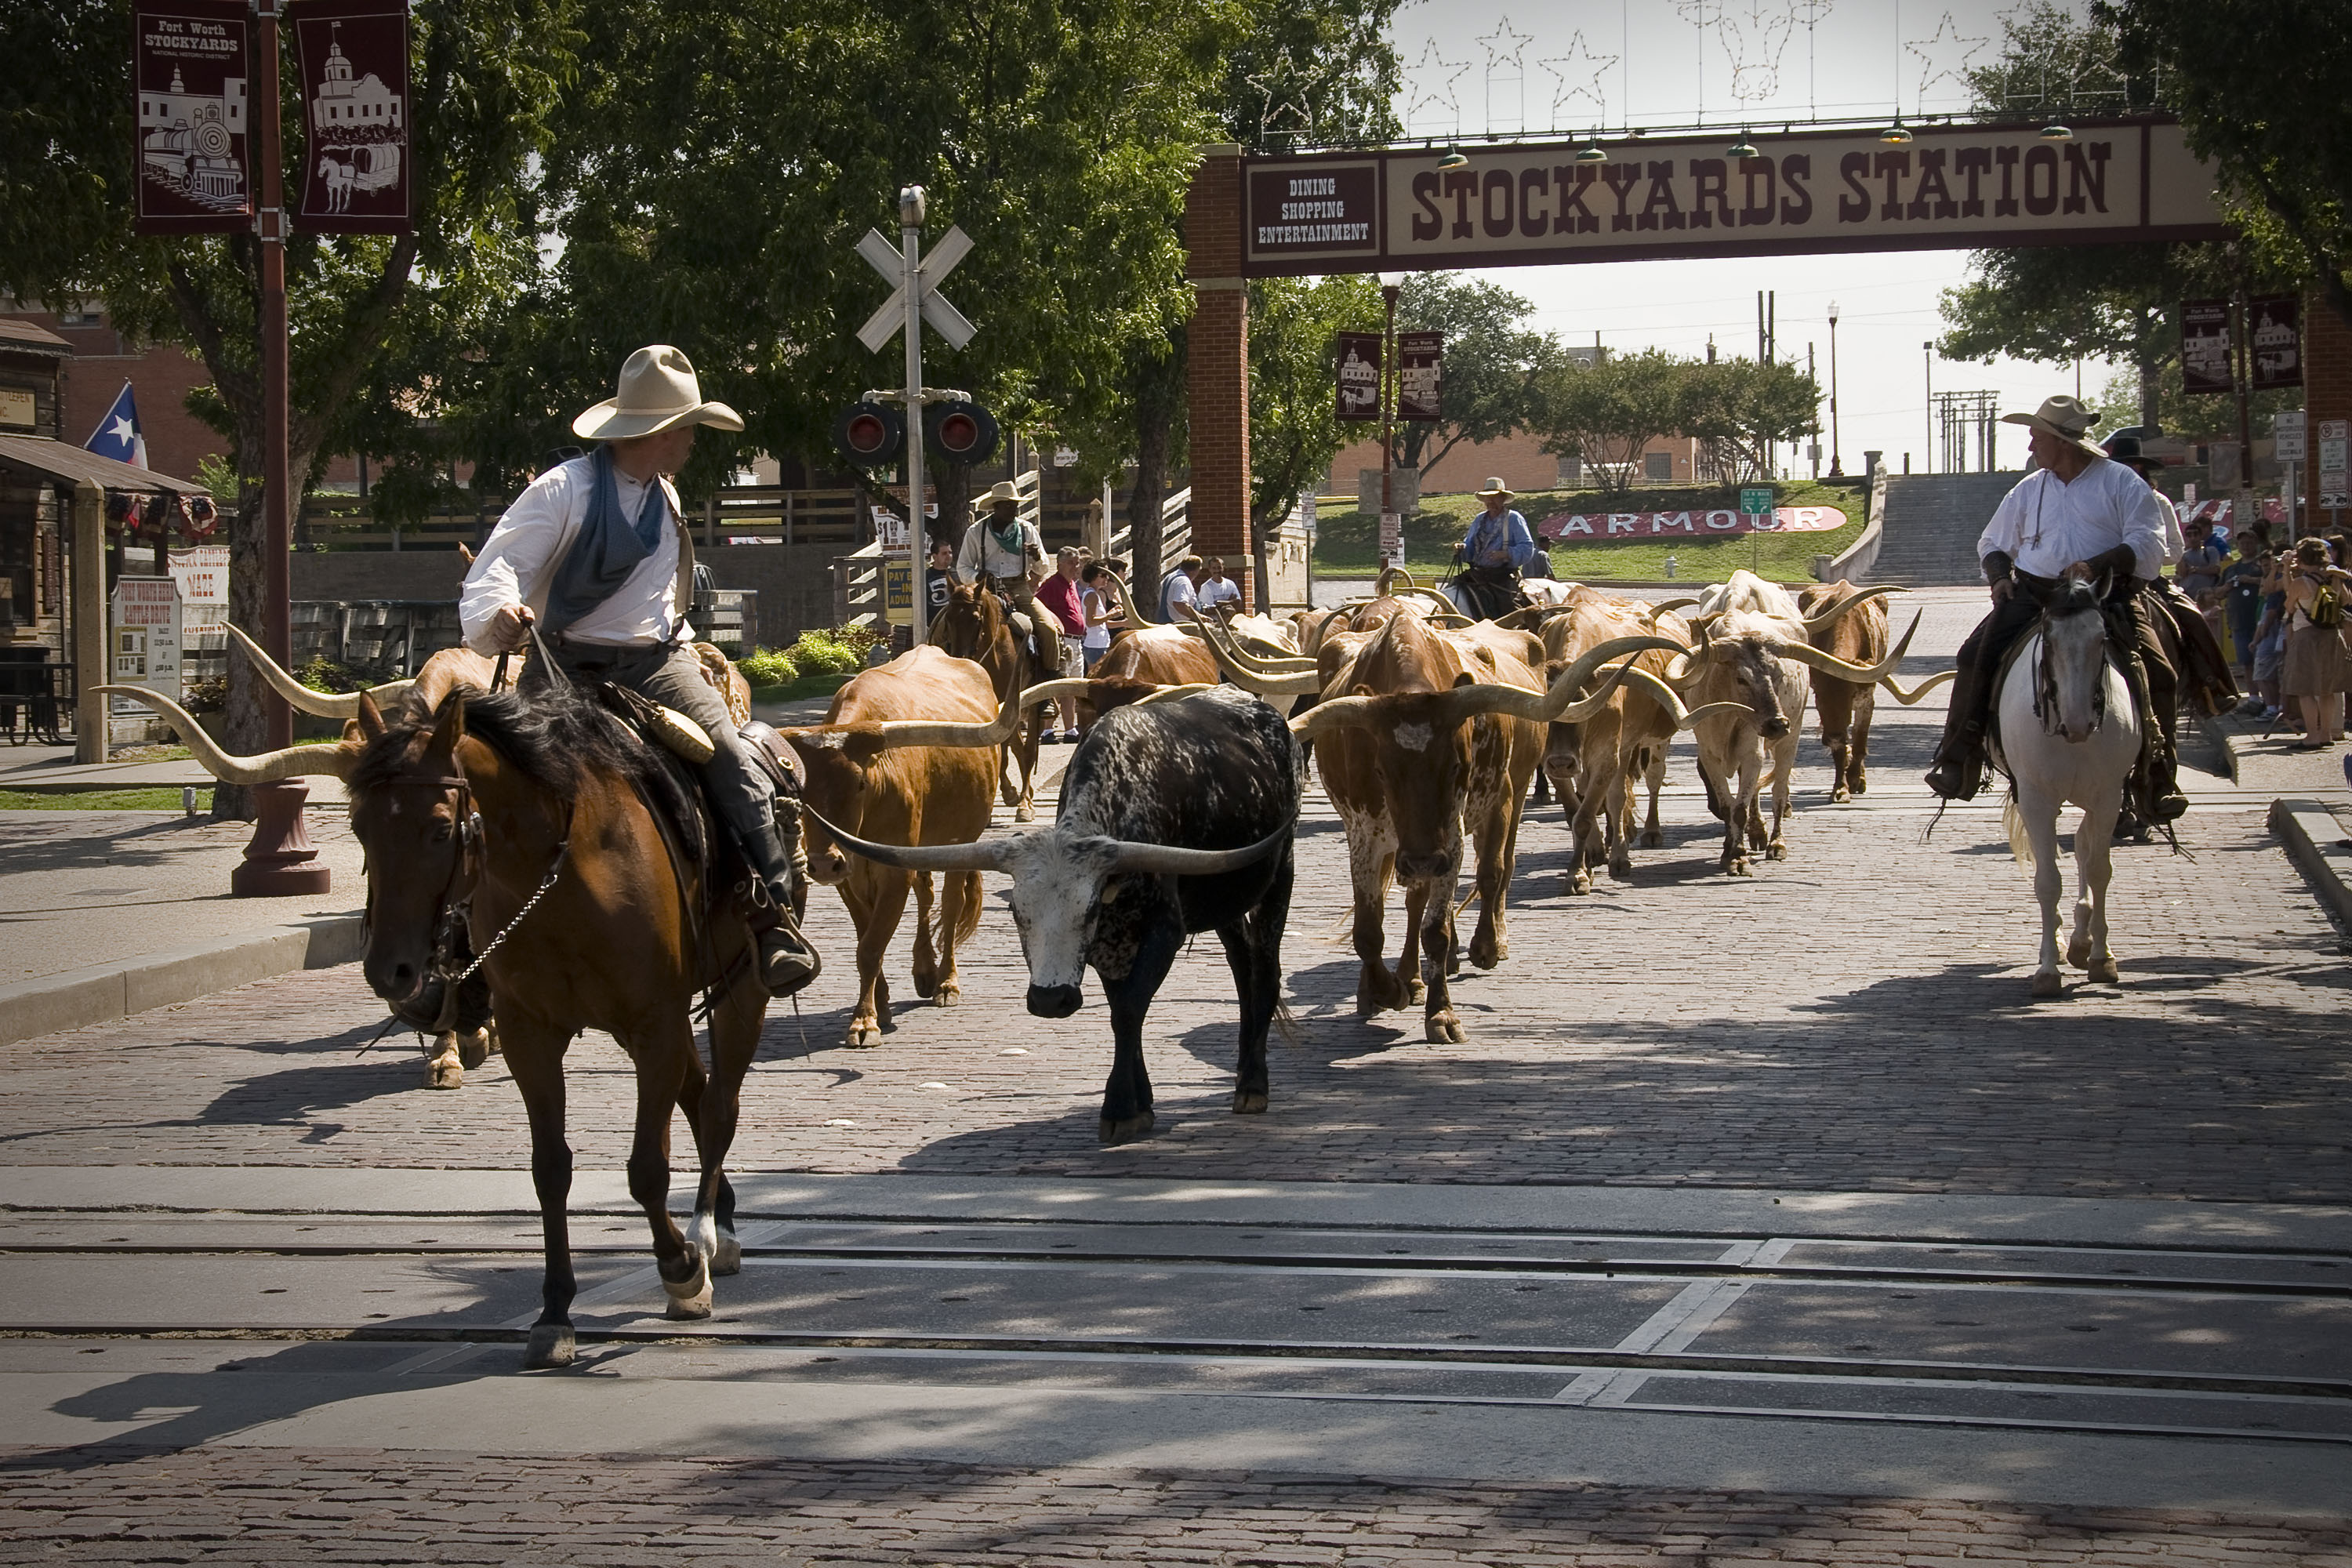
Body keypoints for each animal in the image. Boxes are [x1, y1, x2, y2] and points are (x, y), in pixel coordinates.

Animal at [103, 677, 771, 1373]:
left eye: (441, 829)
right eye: (359, 825)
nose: (389, 970)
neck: (565, 874)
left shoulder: (652, 1022)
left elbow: (646, 1167)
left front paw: (680, 1270)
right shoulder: (532, 1035)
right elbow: (550, 1170)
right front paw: (554, 1312)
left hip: (739, 991)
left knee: (719, 1105)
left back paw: (712, 1234)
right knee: (698, 1093)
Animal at [931, 575, 1044, 822]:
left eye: (976, 618)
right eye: (949, 618)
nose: (959, 658)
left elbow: (1008, 747)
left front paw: (1015, 798)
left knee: (1029, 748)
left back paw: (1025, 800)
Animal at [1994, 583, 2145, 1001]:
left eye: (2102, 637)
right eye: (2048, 639)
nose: (2077, 723)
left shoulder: (2108, 797)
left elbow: (2099, 870)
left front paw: (2101, 958)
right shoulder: (2036, 800)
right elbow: (2048, 881)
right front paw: (2047, 968)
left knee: (2082, 846)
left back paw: (2081, 940)